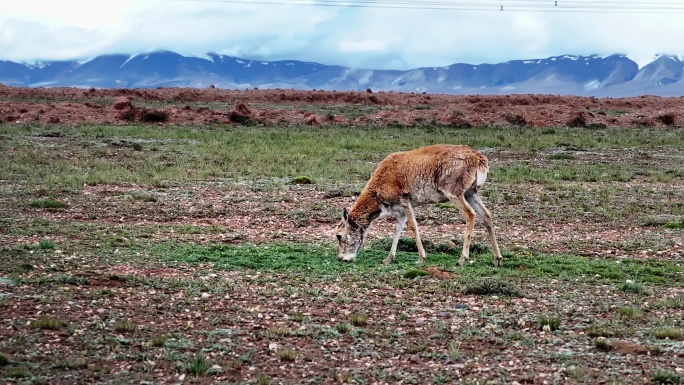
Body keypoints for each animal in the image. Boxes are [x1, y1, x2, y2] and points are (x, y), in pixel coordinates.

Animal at [336, 142, 502, 266]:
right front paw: (388, 259)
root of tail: (479, 158)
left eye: (339, 236)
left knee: (470, 214)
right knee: (487, 215)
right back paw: (497, 259)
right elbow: (397, 230)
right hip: (471, 193)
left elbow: (413, 227)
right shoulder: (400, 210)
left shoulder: (405, 200)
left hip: (455, 194)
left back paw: (462, 259)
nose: (341, 258)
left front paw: (421, 257)